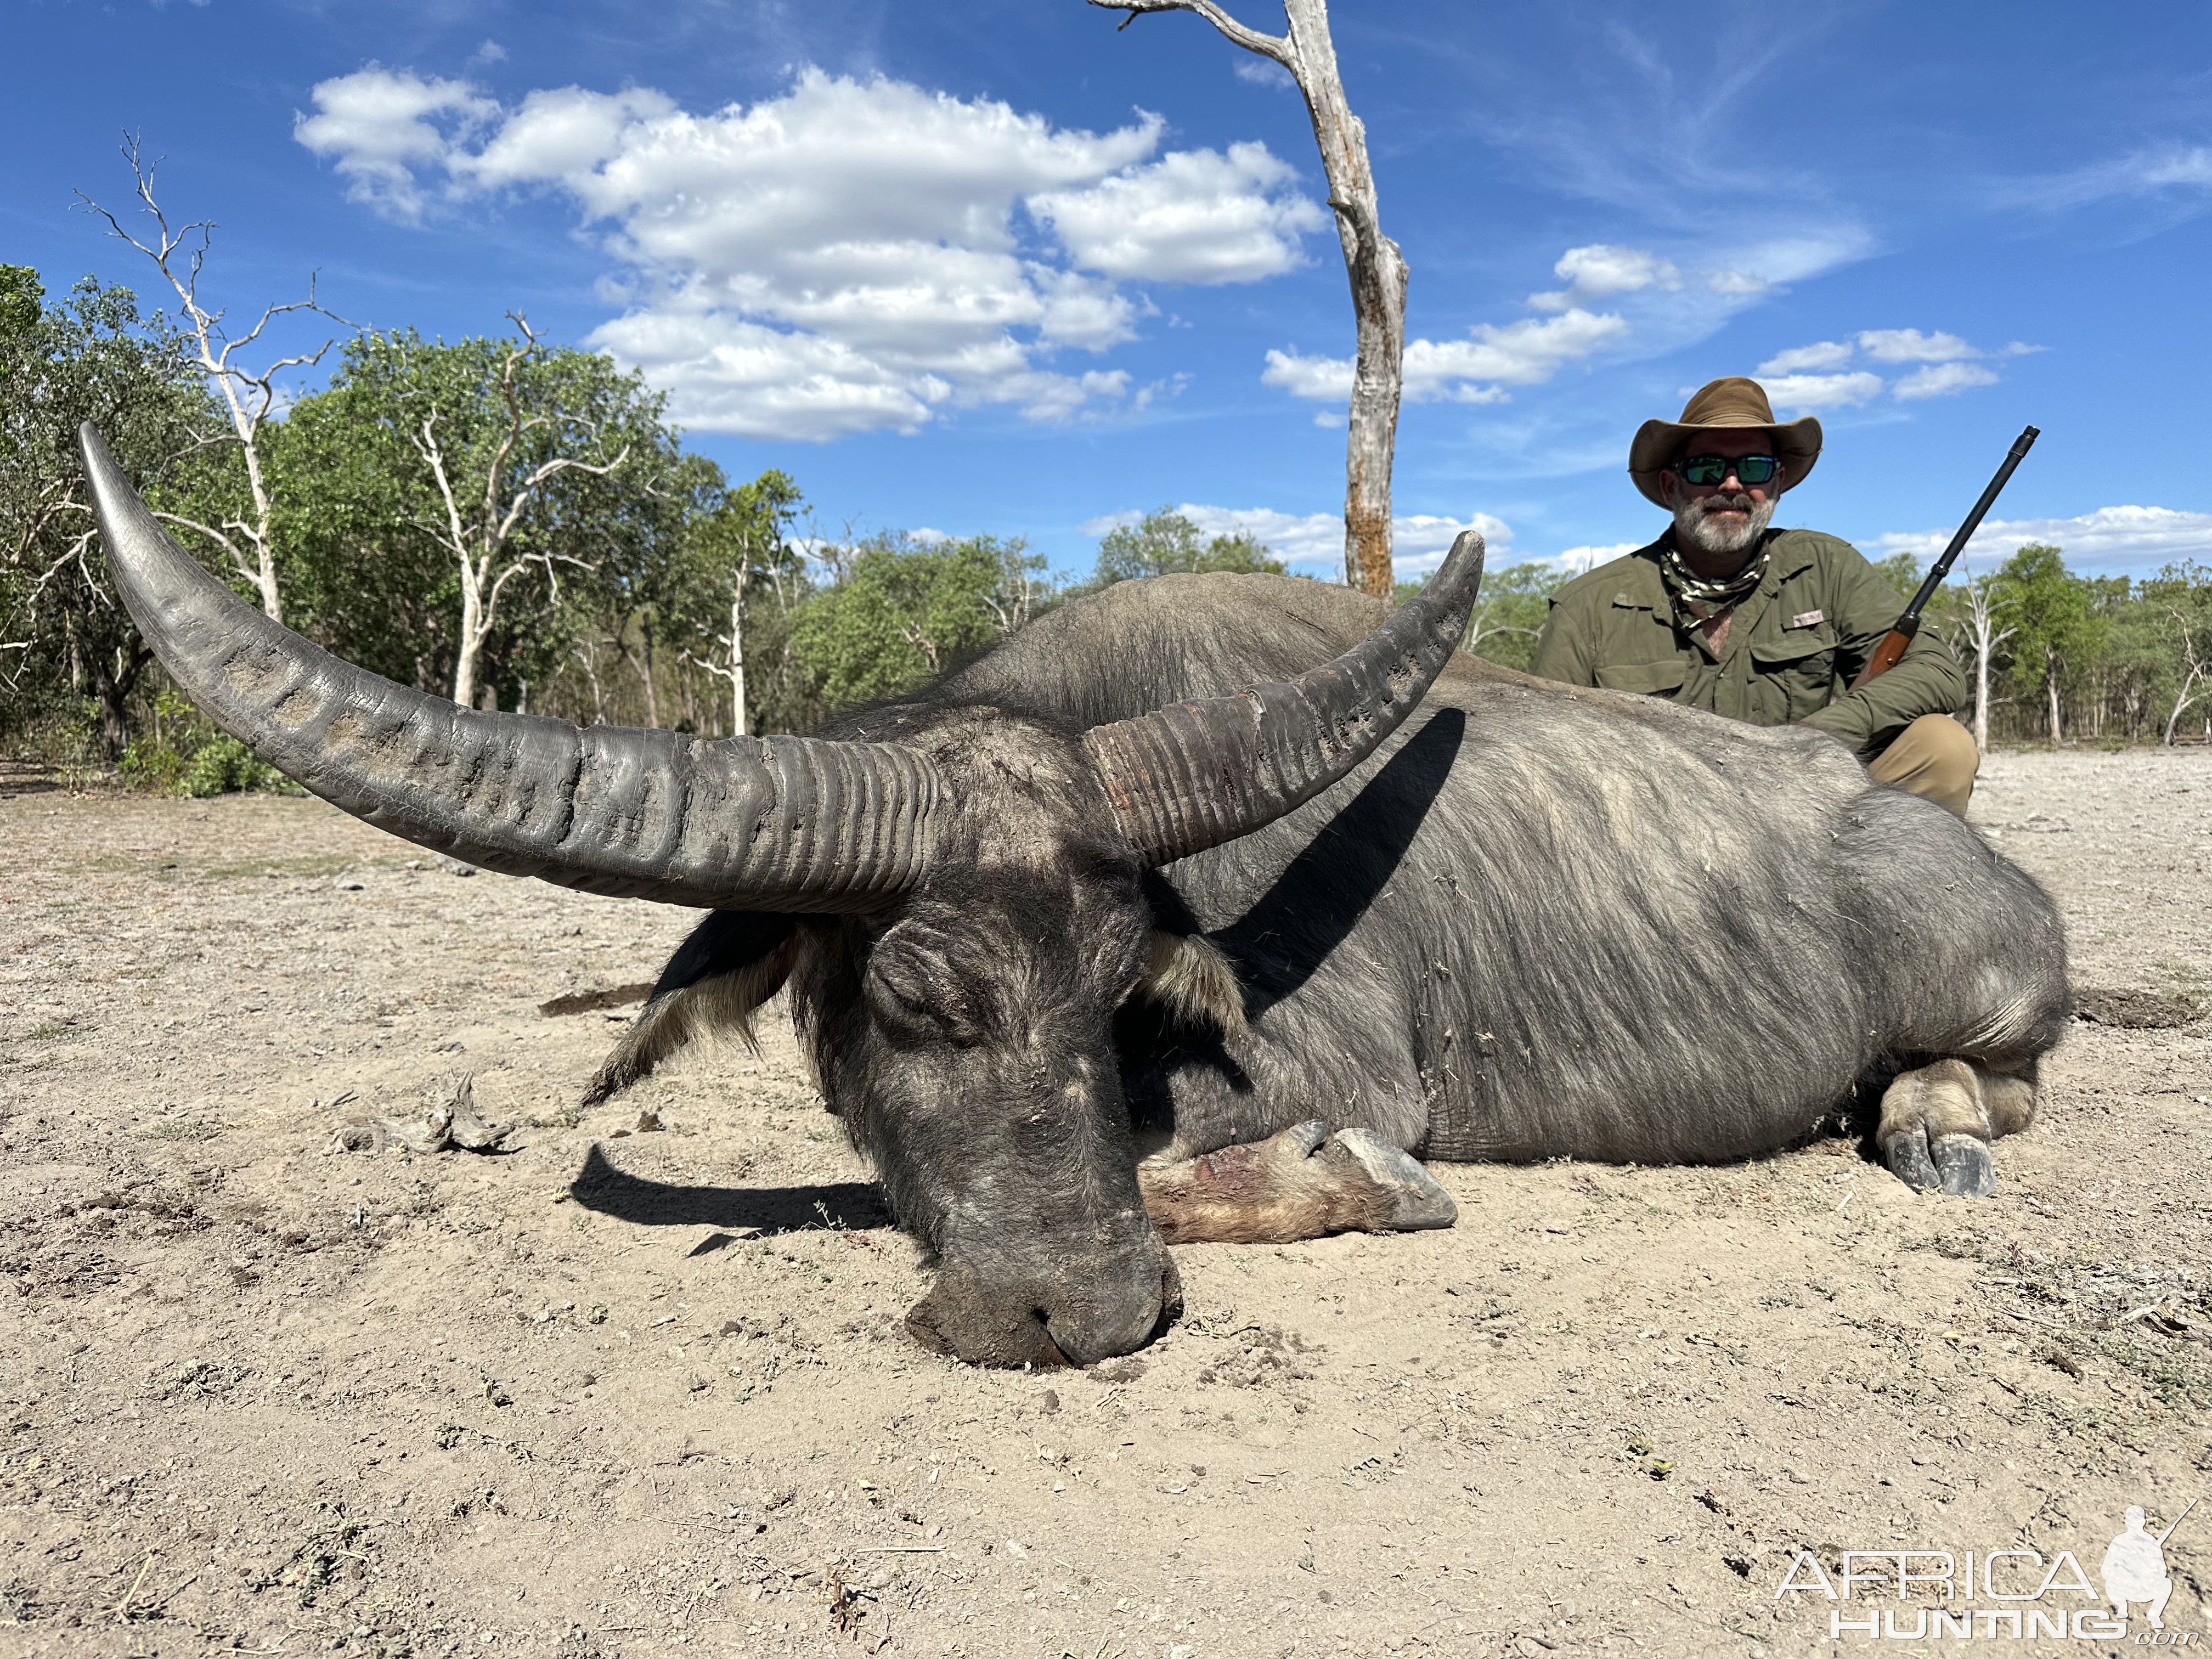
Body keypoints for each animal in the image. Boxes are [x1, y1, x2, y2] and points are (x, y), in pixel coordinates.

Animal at [78, 429, 2061, 1380]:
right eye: (914, 999)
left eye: (1119, 988)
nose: (1084, 1314)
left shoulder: (1330, 1073)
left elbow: (1249, 1153)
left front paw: (1352, 1181)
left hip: (1986, 989)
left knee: (2005, 1077)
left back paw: (1940, 1128)